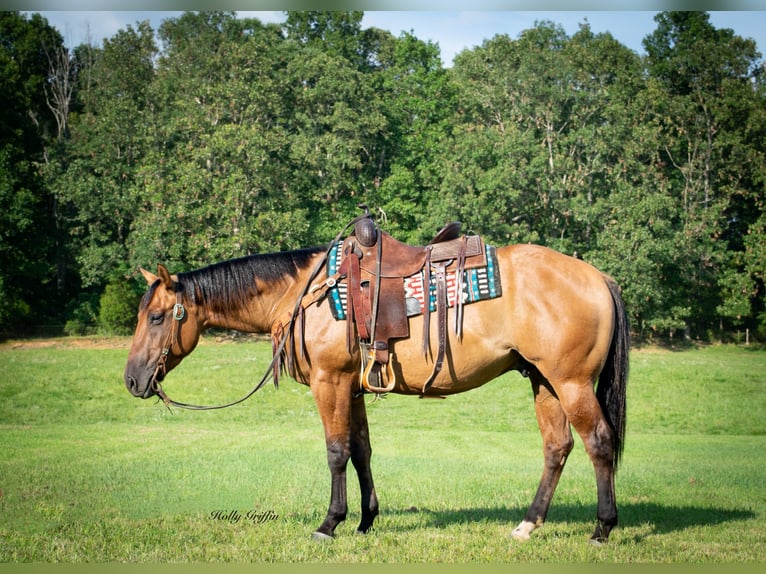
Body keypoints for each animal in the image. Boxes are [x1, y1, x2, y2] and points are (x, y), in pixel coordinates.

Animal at [123, 227, 629, 545]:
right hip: (544, 381)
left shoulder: (329, 382)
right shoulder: (353, 386)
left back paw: (602, 528)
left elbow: (336, 451)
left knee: (599, 443)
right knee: (557, 447)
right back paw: (528, 525)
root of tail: (598, 277)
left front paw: (329, 522)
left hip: (571, 382)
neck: (306, 294)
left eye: (156, 316)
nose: (131, 380)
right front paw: (366, 520)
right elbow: (361, 451)